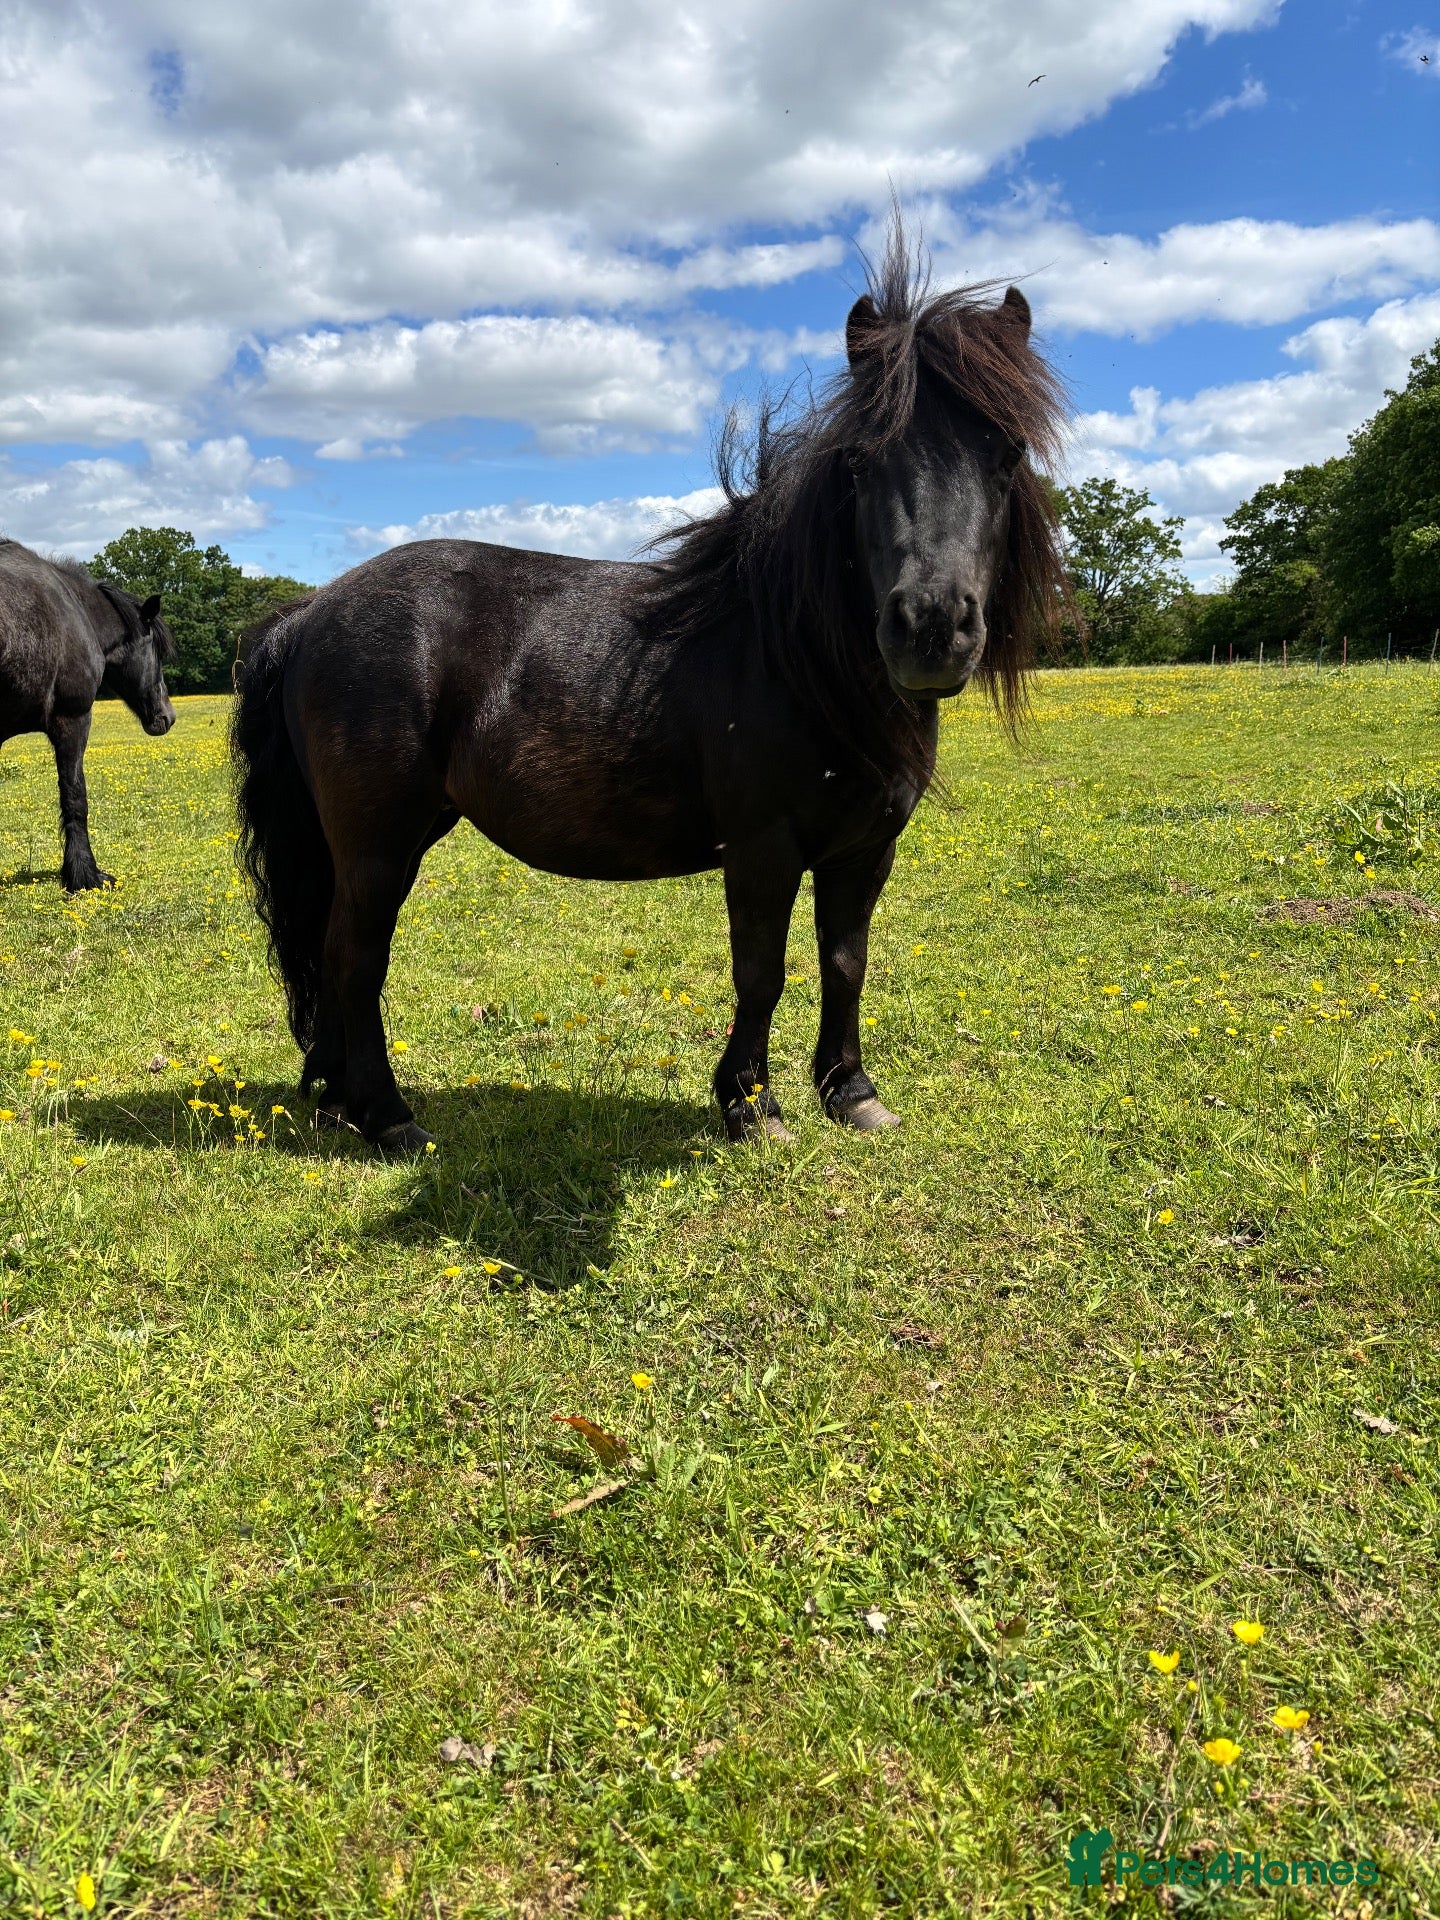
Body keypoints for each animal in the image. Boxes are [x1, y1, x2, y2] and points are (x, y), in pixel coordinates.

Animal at [233, 229, 1067, 1155]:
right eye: (859, 463)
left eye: (1006, 454)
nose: (929, 625)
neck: (795, 658)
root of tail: (312, 610)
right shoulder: (762, 847)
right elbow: (761, 971)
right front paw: (750, 1105)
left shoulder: (866, 849)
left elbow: (844, 962)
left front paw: (850, 1091)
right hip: (378, 845)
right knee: (354, 961)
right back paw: (388, 1116)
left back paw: (340, 1101)